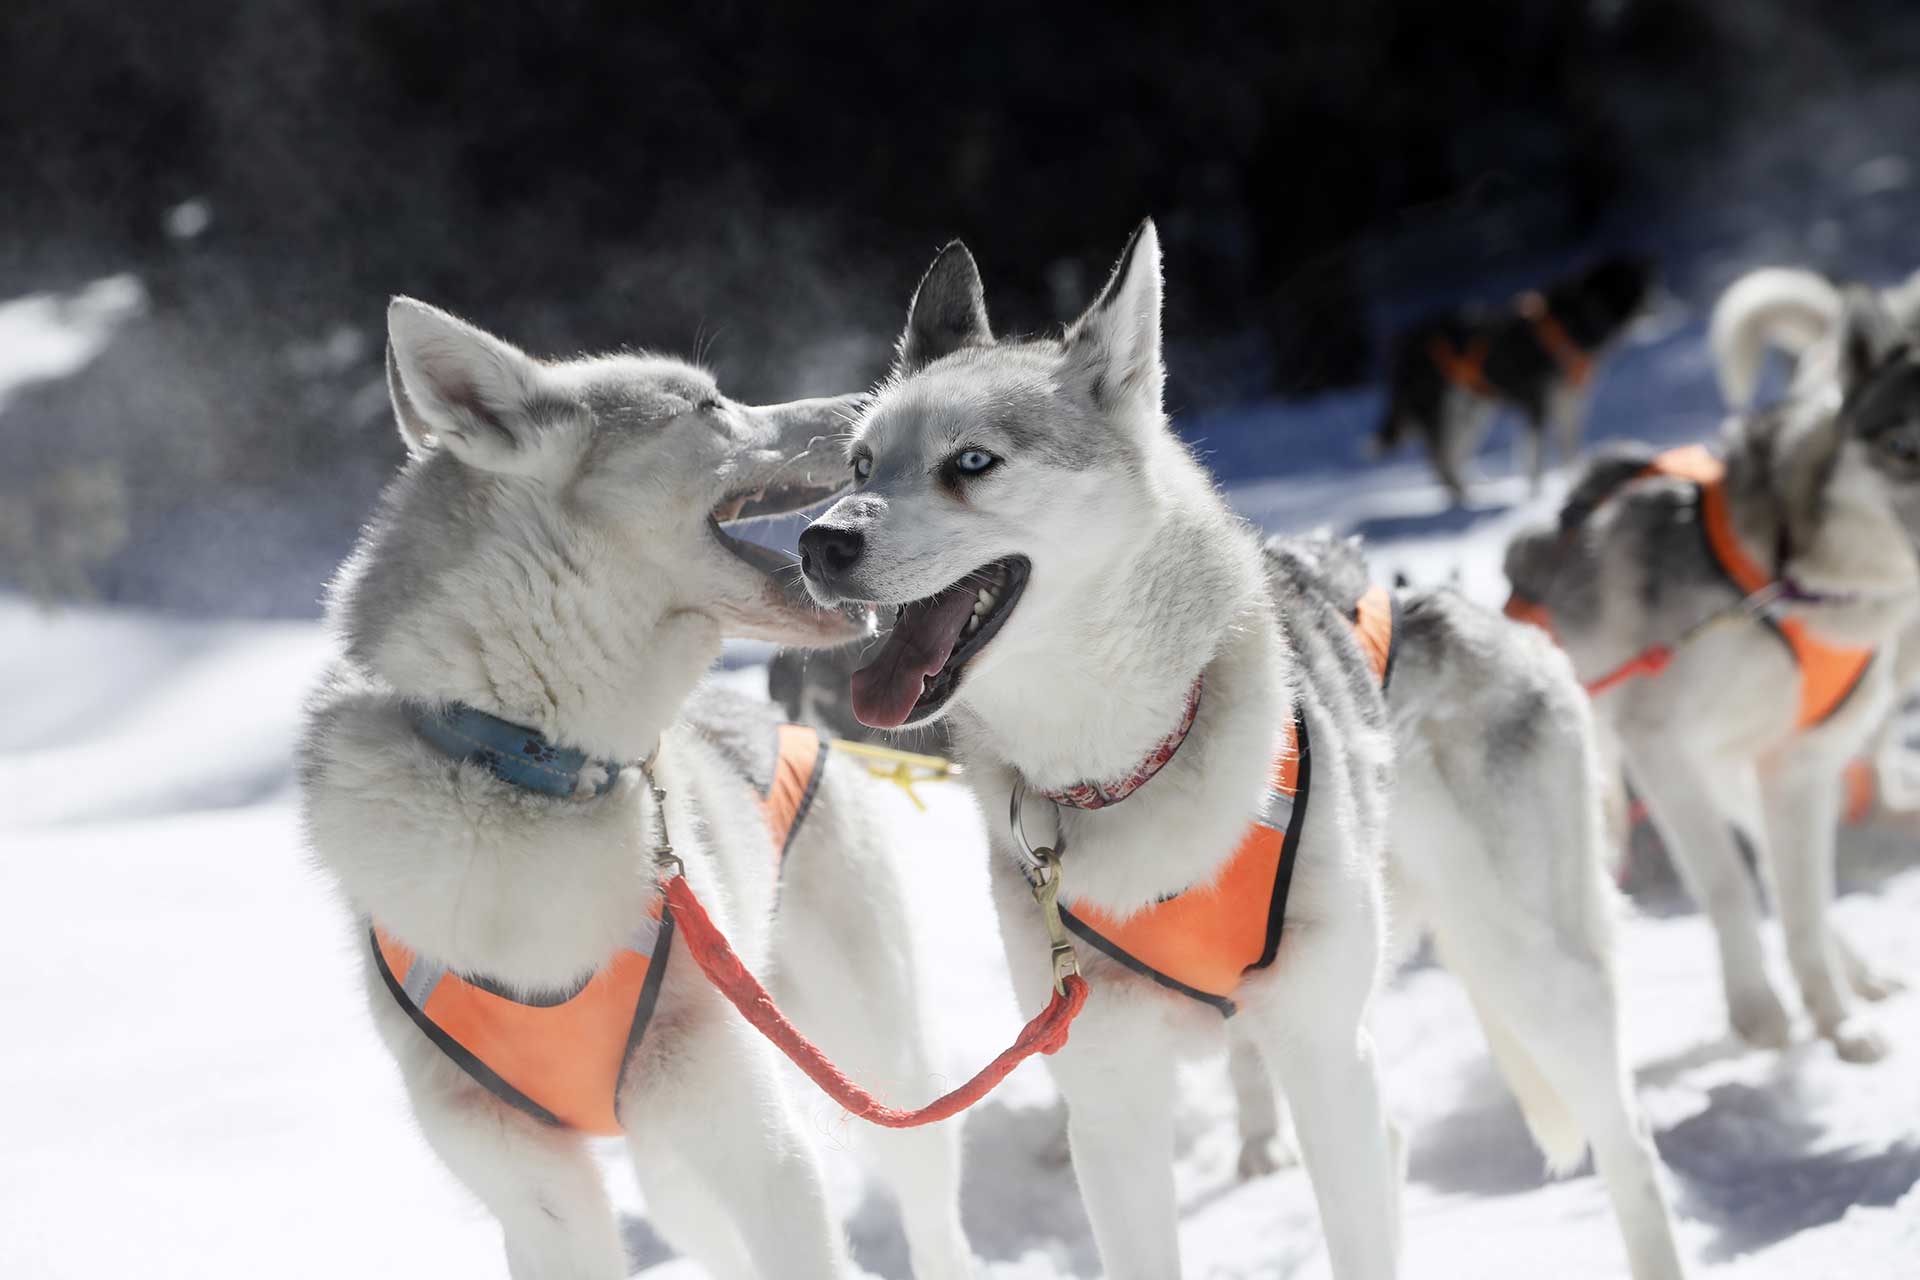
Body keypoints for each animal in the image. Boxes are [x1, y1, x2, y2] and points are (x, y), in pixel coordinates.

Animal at [301, 295, 975, 1274]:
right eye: (707, 405)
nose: (875, 402)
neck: (531, 765)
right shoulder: (542, 1200)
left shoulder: (760, 1149)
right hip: (672, 1170)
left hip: (868, 1059)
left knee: (929, 1196)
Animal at [1374, 257, 1658, 506]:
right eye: (1640, 286)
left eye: (1649, 285)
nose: (1662, 299)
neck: (1572, 323)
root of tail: (1406, 342)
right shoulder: (1536, 405)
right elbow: (1535, 459)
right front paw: (1537, 494)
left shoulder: (1570, 407)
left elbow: (1570, 452)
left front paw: (1575, 480)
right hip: (1444, 412)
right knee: (1441, 458)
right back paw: (1462, 495)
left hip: (1473, 413)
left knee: (1454, 453)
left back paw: (1474, 484)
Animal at [1505, 289, 1920, 1059]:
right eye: (1905, 448)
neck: (1790, 576)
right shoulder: (1660, 750)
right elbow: (1728, 884)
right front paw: (1757, 1008)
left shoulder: (1798, 768)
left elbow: (1803, 906)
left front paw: (1837, 1020)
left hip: (1742, 773)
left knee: (1790, 879)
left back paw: (1856, 974)